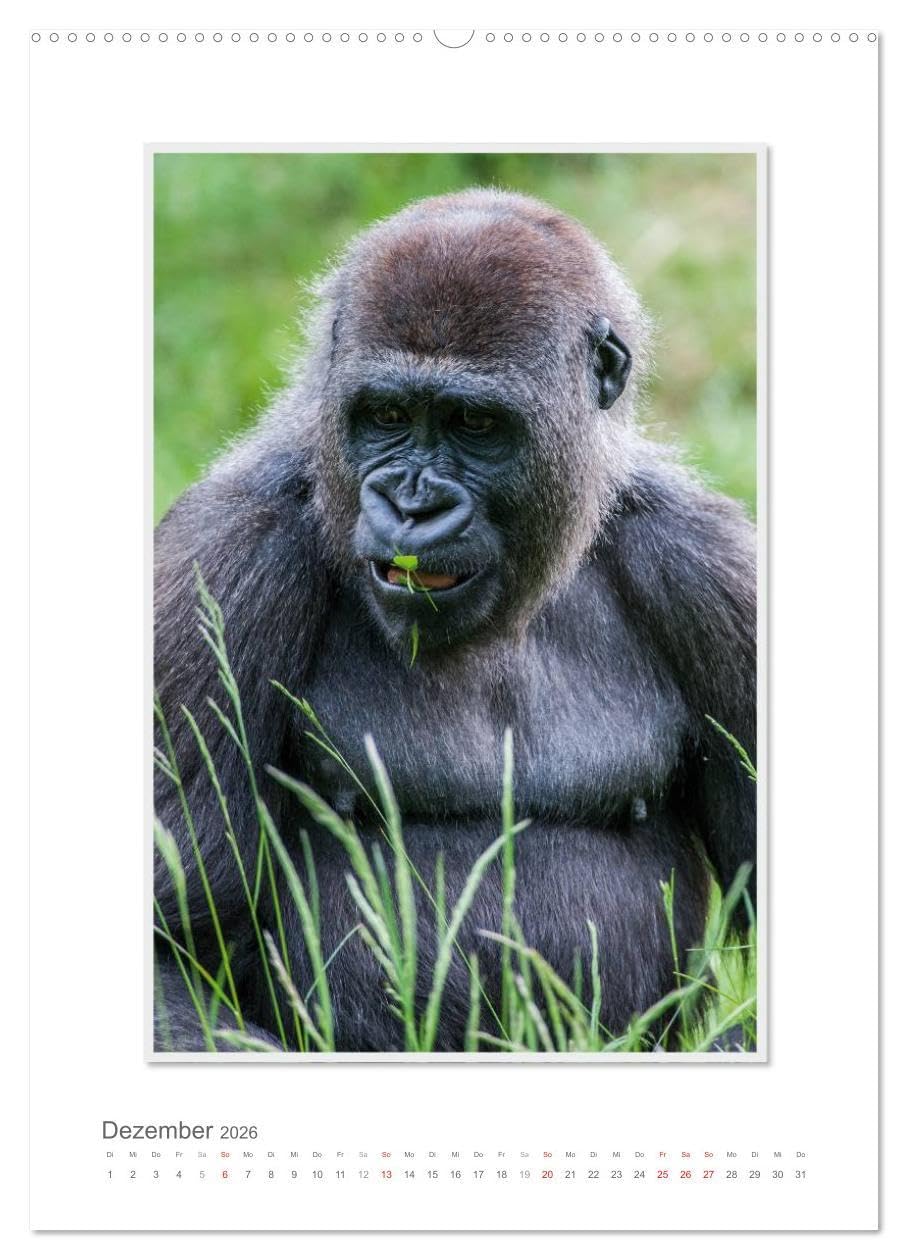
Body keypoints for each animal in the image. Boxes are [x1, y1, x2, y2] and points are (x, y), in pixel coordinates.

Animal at [153, 188, 756, 1052]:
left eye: (475, 425)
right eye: (386, 414)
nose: (413, 506)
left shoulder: (715, 572)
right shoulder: (222, 558)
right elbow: (165, 940)